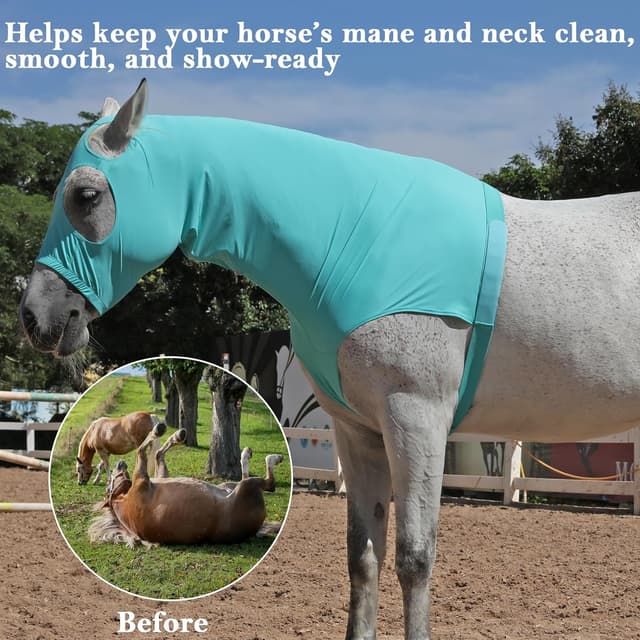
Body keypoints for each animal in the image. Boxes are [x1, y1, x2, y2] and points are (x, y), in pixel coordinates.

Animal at [89, 423, 283, 547]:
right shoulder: (142, 479)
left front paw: (176, 436)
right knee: (268, 483)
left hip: (230, 485)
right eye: (110, 483)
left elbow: (158, 454)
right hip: (246, 488)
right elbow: (141, 449)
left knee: (245, 476)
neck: (125, 504)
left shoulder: (155, 478)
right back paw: (272, 458)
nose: (119, 463)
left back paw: (246, 454)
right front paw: (158, 429)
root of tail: (255, 529)